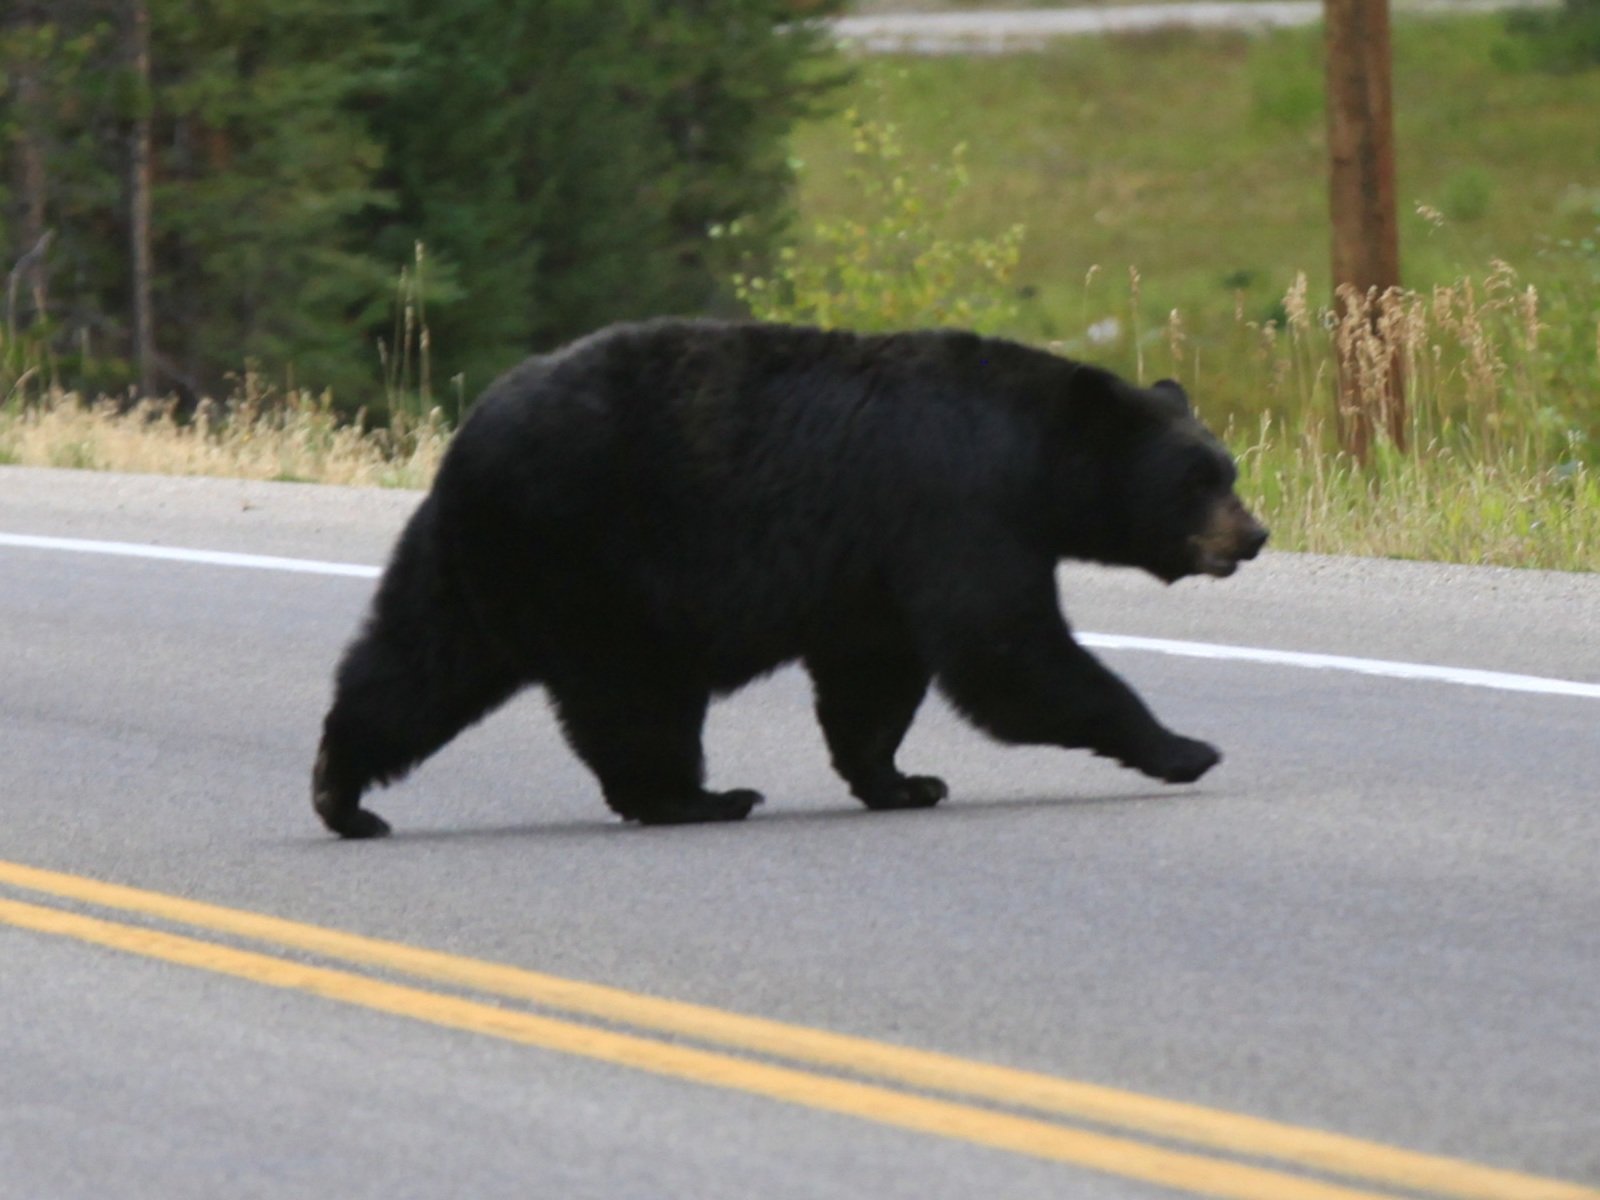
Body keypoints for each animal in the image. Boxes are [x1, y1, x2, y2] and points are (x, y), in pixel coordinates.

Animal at [312, 318, 1267, 838]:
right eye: (1199, 479)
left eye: (1226, 469)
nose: (1253, 534)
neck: (1032, 460)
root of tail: (472, 432)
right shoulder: (956, 509)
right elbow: (1006, 650)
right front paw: (1185, 746)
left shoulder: (877, 569)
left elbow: (873, 678)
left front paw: (903, 781)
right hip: (600, 561)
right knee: (634, 696)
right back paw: (699, 797)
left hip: (474, 560)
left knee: (416, 664)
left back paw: (342, 793)